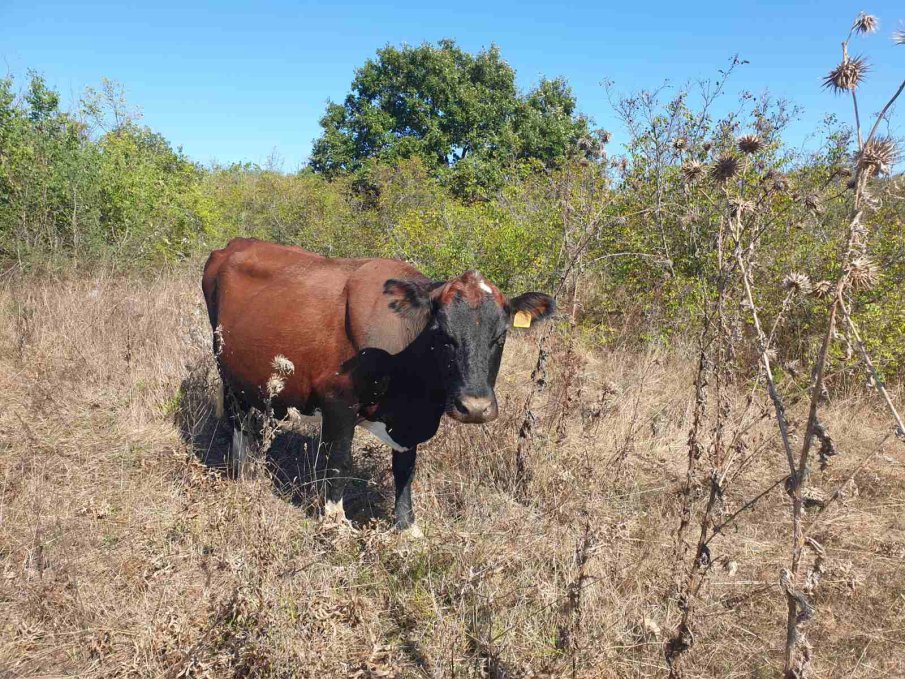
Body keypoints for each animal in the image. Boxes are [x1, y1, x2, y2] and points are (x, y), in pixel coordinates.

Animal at [202, 240, 556, 536]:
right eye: (442, 334)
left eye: (501, 336)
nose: (475, 407)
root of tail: (234, 244)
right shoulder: (338, 403)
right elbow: (339, 461)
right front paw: (336, 523)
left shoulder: (409, 421)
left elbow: (405, 469)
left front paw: (407, 526)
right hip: (225, 368)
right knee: (236, 419)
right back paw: (243, 472)